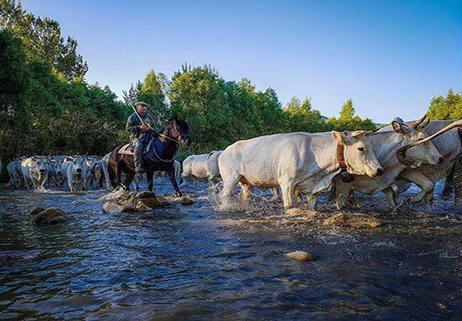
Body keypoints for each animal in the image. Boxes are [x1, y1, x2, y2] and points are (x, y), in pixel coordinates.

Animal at [218, 130, 384, 210]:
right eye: (361, 148)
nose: (379, 170)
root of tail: (224, 151)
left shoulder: (313, 188)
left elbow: (313, 207)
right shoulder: (286, 183)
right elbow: (289, 206)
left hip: (245, 183)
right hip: (230, 179)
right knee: (223, 195)